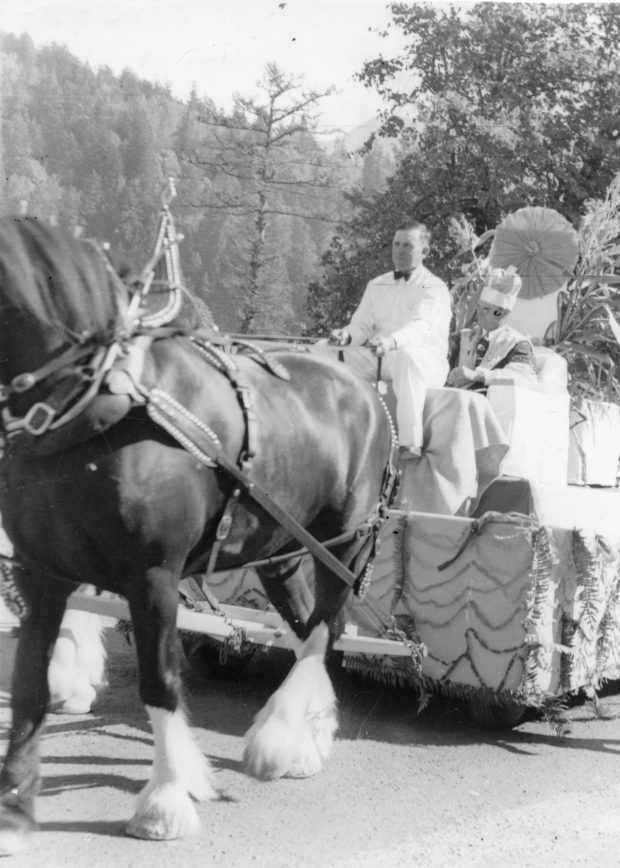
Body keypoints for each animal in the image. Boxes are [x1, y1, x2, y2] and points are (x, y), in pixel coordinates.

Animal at [0, 217, 398, 856]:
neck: (95, 406)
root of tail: (364, 386)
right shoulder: (40, 571)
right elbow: (30, 686)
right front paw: (14, 806)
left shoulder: (153, 576)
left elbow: (159, 681)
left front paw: (165, 800)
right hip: (283, 551)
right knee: (305, 624)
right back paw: (308, 738)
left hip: (346, 542)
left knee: (324, 628)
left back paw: (278, 738)